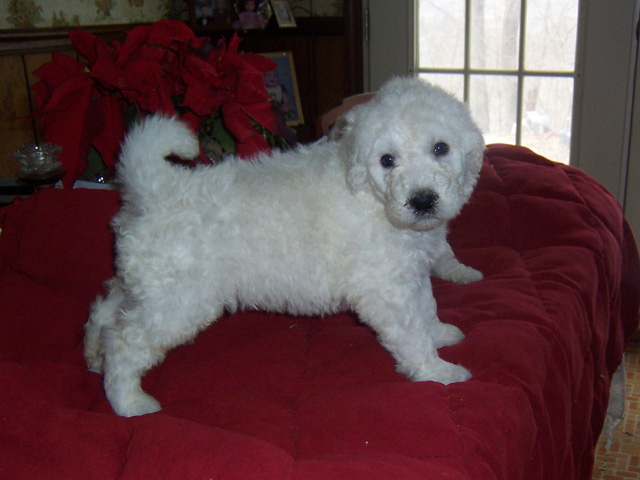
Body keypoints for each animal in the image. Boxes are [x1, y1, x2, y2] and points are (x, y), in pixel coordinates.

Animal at [85, 76, 484, 416]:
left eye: (440, 148)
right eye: (387, 160)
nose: (422, 200)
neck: (372, 199)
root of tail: (159, 189)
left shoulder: (411, 273)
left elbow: (426, 306)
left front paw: (440, 333)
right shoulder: (387, 289)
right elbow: (411, 331)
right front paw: (437, 370)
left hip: (147, 283)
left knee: (107, 311)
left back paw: (93, 356)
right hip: (179, 302)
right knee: (126, 342)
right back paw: (128, 401)